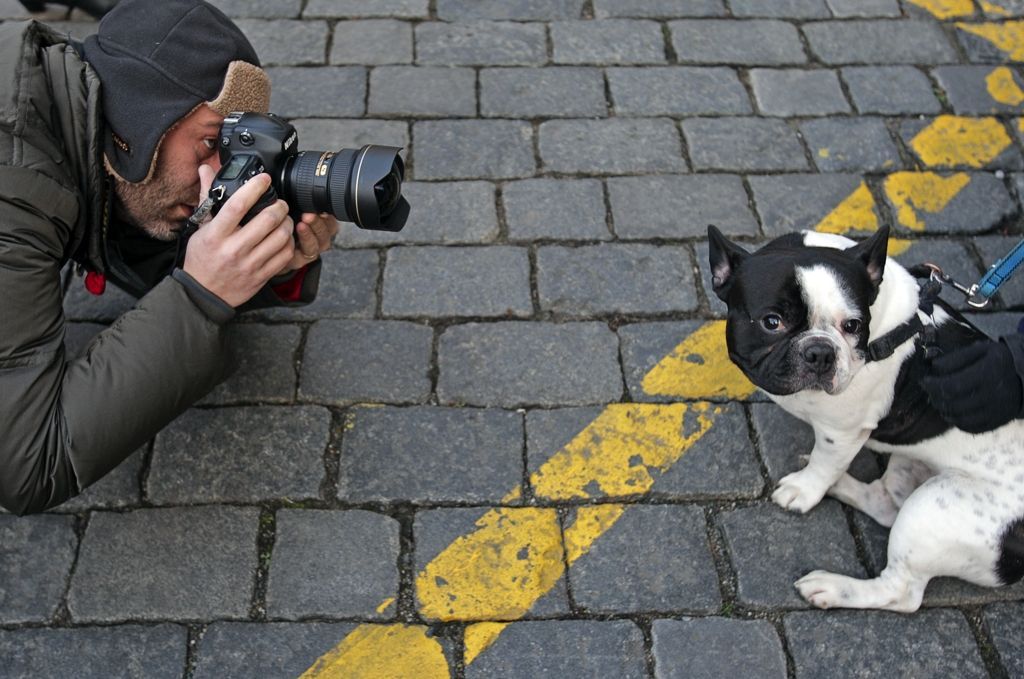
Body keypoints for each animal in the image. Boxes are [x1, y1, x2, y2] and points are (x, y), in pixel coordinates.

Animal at [708, 225, 1024, 614]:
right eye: (771, 322)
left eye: (853, 325)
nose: (820, 351)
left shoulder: (840, 432)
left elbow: (824, 464)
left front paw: (806, 490)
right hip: (911, 467)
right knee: (887, 502)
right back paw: (844, 488)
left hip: (933, 512)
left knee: (902, 592)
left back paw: (833, 587)